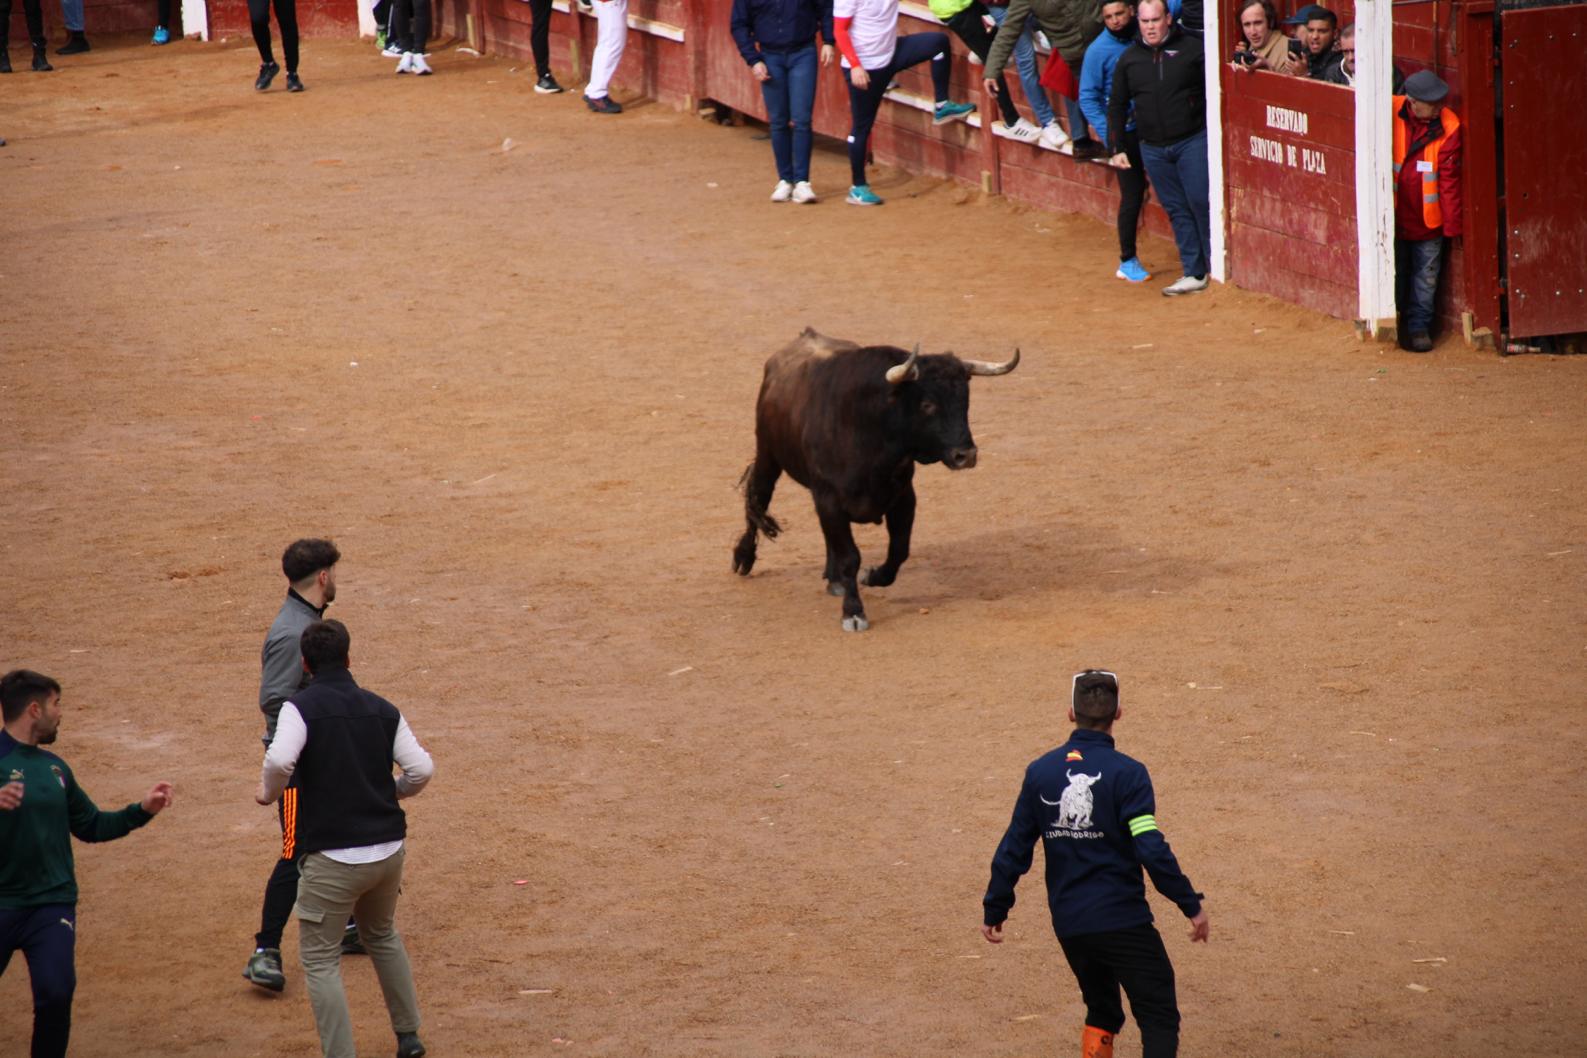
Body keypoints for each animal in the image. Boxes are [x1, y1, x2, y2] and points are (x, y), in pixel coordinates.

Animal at [730, 328, 1015, 628]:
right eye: (927, 404)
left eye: (965, 402)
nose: (966, 455)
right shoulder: (830, 499)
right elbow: (849, 557)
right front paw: (853, 611)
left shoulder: (903, 498)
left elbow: (899, 549)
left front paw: (873, 576)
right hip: (768, 455)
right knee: (757, 500)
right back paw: (744, 558)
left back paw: (833, 580)